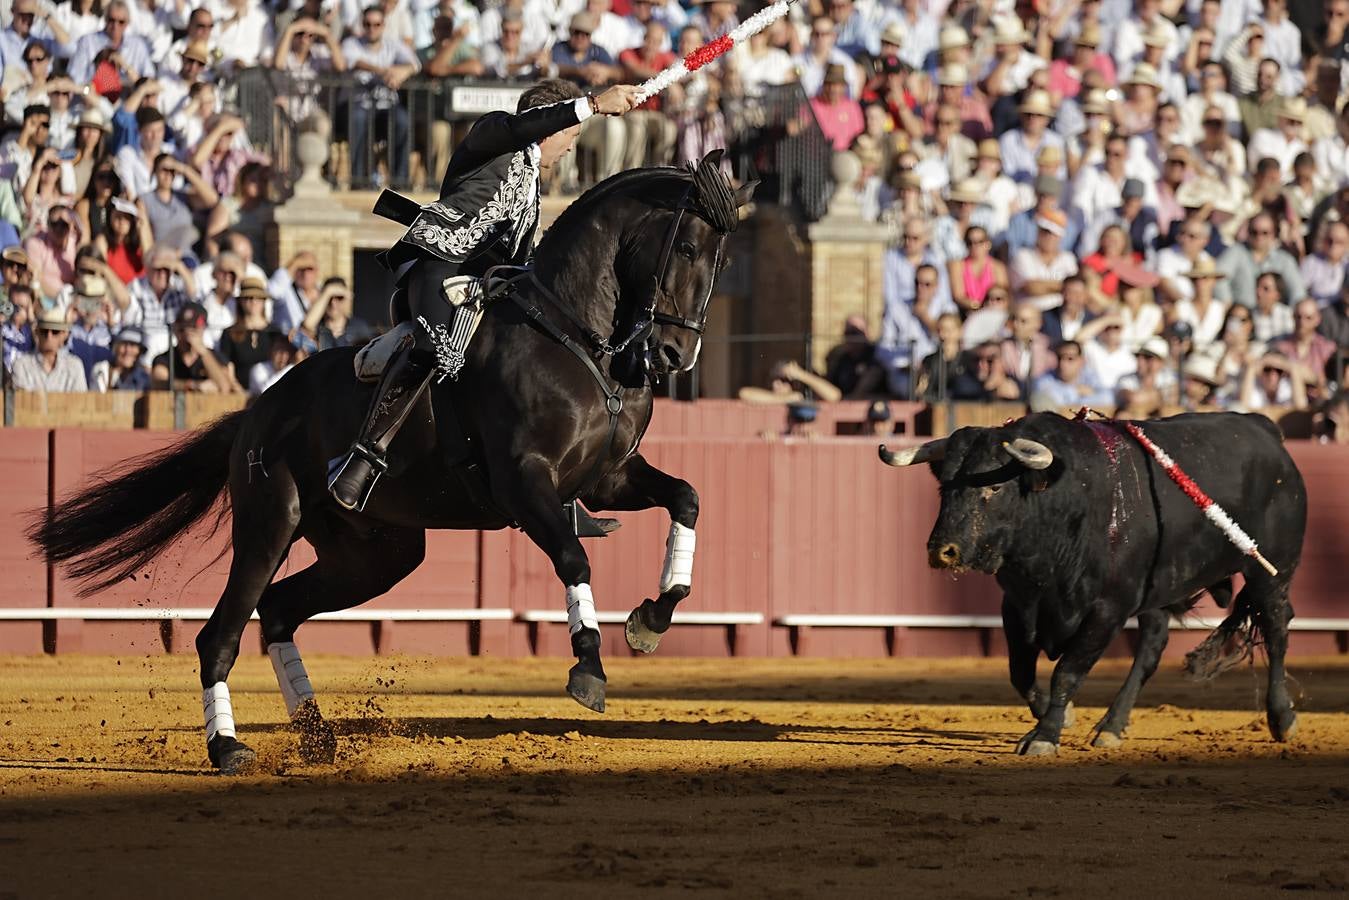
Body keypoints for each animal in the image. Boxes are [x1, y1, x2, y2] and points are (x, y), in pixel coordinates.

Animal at [31, 155, 755, 777]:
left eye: (723, 258)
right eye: (685, 249)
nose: (673, 355)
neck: (572, 336)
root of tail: (258, 410)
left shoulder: (605, 478)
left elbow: (687, 496)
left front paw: (650, 621)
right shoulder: (525, 482)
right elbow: (574, 557)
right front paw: (588, 670)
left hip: (377, 554)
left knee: (280, 610)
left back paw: (318, 738)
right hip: (269, 522)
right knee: (222, 633)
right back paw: (229, 748)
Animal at [879, 412, 1311, 755]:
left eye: (994, 487)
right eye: (943, 487)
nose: (943, 551)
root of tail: (1266, 429)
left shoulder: (1107, 610)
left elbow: (1067, 671)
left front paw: (1044, 735)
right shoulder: (1017, 606)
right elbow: (1020, 672)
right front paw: (1061, 716)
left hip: (1272, 573)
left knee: (1276, 630)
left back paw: (1282, 718)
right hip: (1157, 592)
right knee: (1152, 647)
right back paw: (1111, 727)